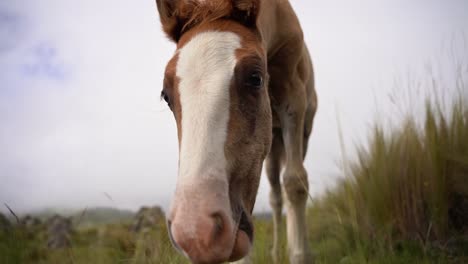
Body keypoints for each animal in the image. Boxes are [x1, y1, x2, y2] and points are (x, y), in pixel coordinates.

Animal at [154, 1, 318, 262]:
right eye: (166, 96)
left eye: (255, 77)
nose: (196, 234)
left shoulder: (294, 99)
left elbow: (295, 182)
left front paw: (300, 253)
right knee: (275, 196)